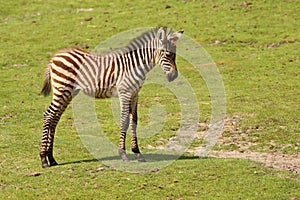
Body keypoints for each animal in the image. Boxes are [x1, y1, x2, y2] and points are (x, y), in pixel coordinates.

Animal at [40, 26, 183, 167]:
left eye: (175, 55)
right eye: (167, 54)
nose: (174, 76)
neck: (135, 65)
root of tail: (55, 57)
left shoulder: (135, 94)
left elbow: (134, 121)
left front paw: (137, 153)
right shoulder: (125, 93)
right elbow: (124, 120)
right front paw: (123, 154)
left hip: (68, 92)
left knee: (55, 118)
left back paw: (51, 158)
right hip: (62, 88)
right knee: (48, 115)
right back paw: (43, 159)